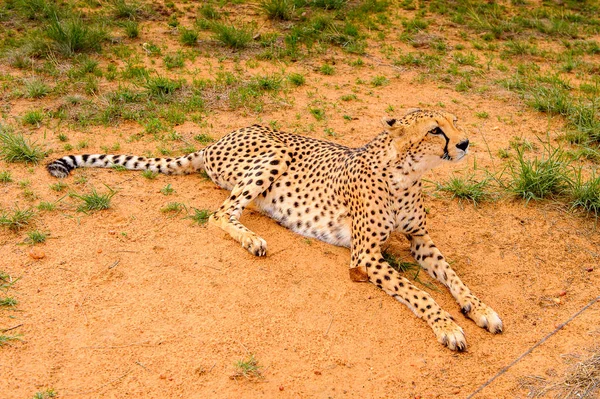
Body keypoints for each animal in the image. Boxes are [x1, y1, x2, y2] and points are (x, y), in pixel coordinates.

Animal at [48, 108, 502, 350]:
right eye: (435, 131)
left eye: (455, 122)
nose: (465, 143)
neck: (406, 174)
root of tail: (217, 140)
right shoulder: (365, 257)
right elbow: (419, 292)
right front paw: (447, 325)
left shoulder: (420, 239)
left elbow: (453, 276)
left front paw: (479, 309)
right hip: (273, 154)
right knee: (218, 214)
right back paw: (252, 238)